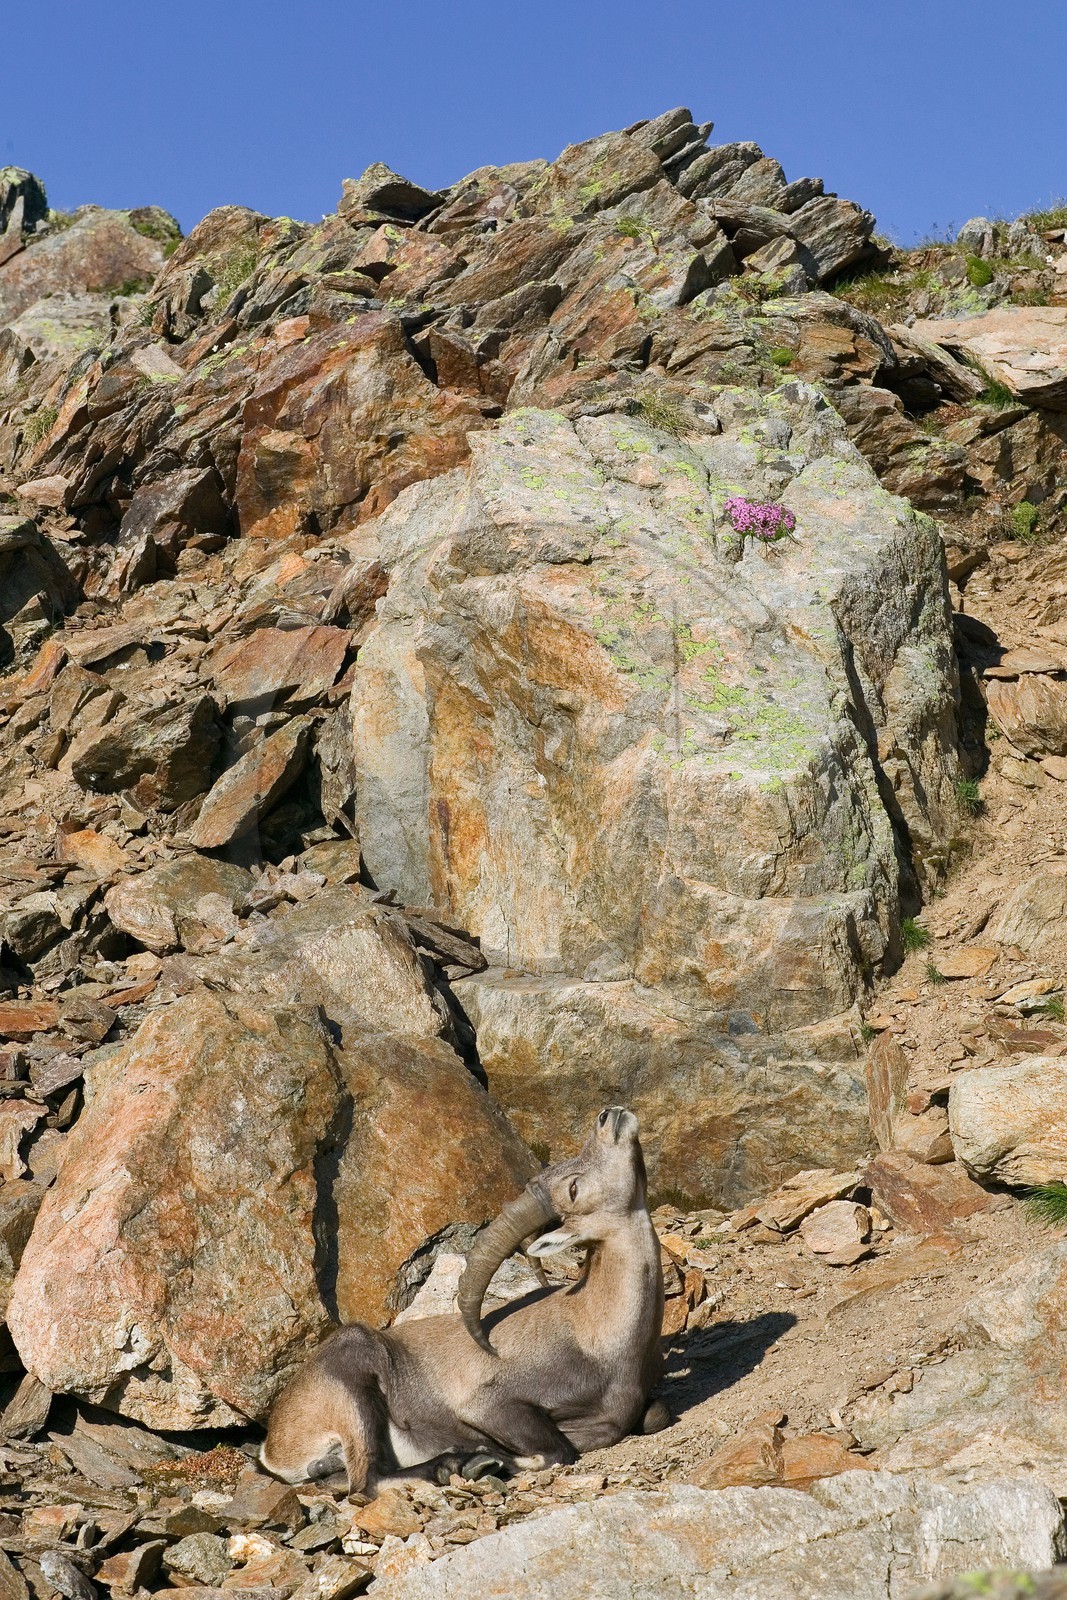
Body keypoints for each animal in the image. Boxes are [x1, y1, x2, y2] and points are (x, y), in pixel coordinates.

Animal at [261, 1106, 667, 1492]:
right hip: (354, 1381)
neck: (598, 1336)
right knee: (368, 1481)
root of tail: (273, 1446)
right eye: (574, 1188)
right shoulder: (488, 1405)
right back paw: (458, 1463)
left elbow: (654, 1416)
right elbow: (555, 1452)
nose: (608, 1116)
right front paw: (488, 1458)